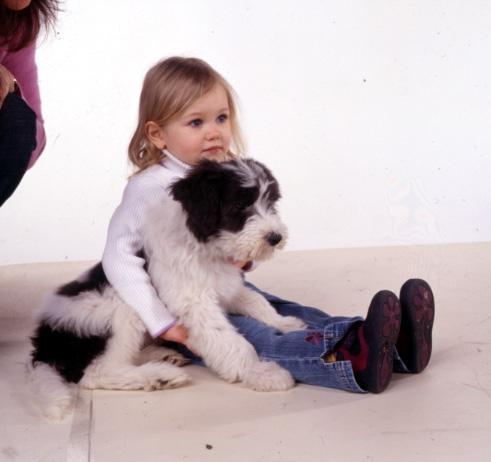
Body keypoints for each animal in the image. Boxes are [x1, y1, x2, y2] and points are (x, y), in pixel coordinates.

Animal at [28, 158, 304, 418]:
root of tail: (45, 341)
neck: (203, 245)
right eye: (239, 206)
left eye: (271, 202)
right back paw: (160, 375)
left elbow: (257, 301)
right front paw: (261, 372)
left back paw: (160, 355)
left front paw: (285, 323)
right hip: (120, 309)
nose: (275, 237)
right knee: (97, 372)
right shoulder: (194, 302)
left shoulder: (227, 288)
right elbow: (230, 340)